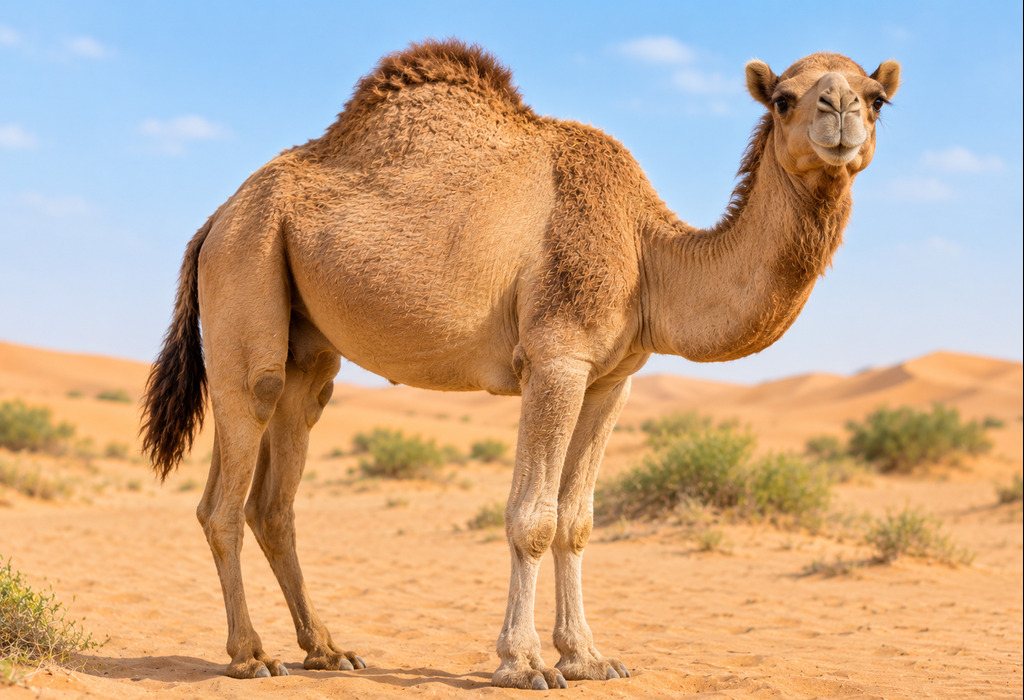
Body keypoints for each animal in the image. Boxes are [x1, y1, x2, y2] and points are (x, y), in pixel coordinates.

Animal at [141, 39, 899, 690]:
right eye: (784, 98)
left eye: (877, 97)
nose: (838, 111)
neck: (648, 252)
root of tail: (214, 219)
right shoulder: (555, 358)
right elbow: (531, 517)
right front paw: (524, 663)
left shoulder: (612, 380)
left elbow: (577, 519)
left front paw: (588, 657)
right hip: (247, 276)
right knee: (227, 485)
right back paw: (250, 656)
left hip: (307, 348)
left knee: (277, 494)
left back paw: (327, 649)